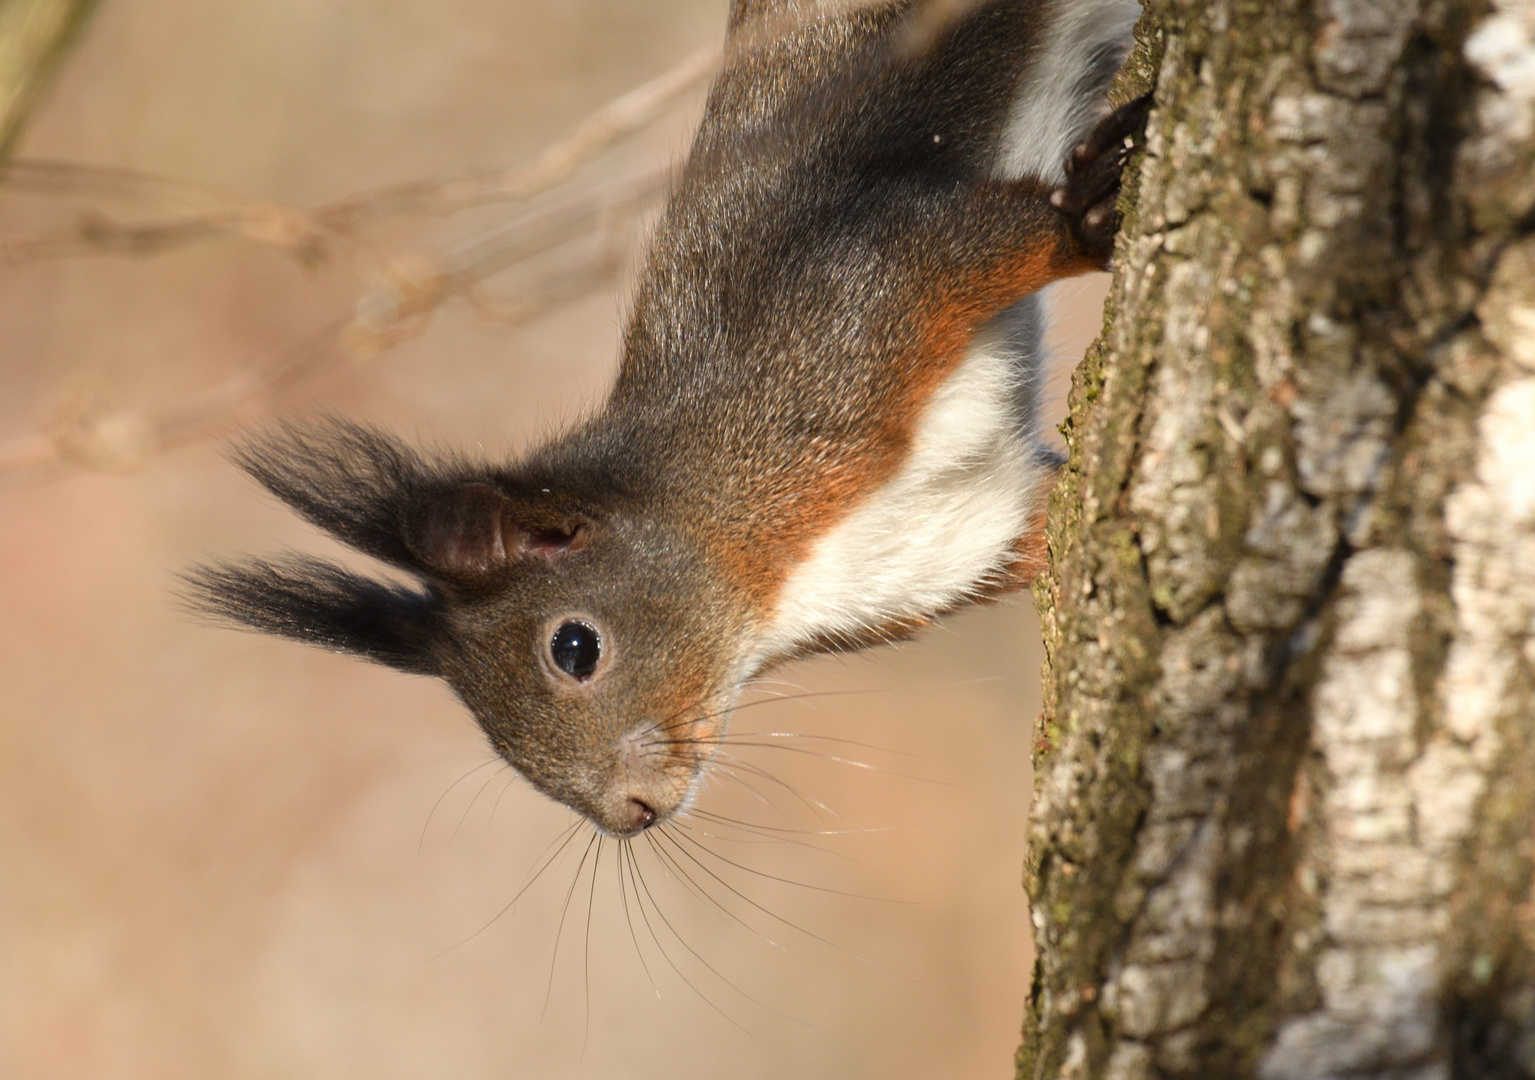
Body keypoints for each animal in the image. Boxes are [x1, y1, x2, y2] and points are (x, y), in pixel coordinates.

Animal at [188, 0, 1154, 840]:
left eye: (575, 647)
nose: (630, 815)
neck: (772, 572)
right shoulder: (955, 545)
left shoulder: (844, 312)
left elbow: (967, 241)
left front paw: (1086, 220)